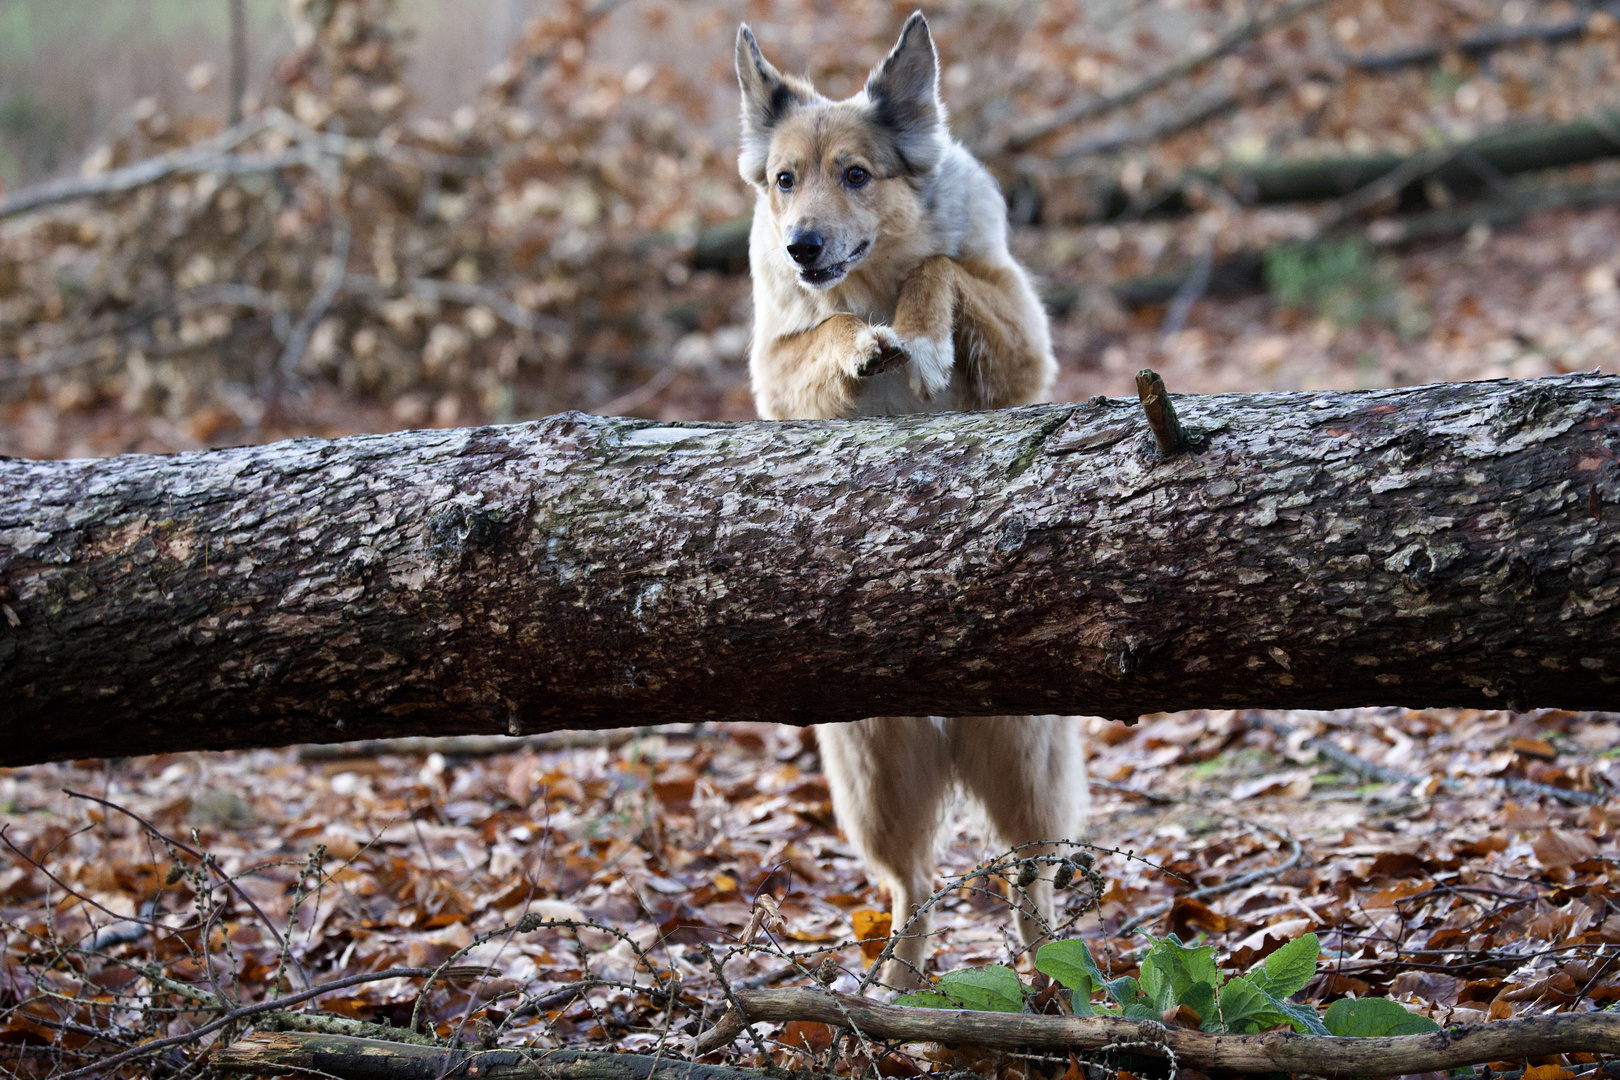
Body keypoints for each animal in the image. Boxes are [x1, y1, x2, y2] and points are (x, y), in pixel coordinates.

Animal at [735, 10, 1088, 990]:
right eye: (786, 180)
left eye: (857, 173)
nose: (801, 246)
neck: (870, 275)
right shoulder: (778, 366)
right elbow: (828, 327)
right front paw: (870, 345)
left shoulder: (1018, 332)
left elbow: (940, 267)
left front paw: (922, 341)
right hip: (872, 769)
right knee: (913, 886)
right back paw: (895, 993)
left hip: (1024, 754)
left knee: (1030, 876)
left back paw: (1059, 987)